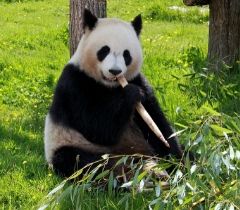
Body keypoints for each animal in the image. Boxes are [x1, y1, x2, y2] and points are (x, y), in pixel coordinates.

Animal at [44, 9, 183, 177]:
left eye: (126, 54)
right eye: (104, 50)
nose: (115, 71)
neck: (110, 86)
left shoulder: (137, 79)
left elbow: (155, 122)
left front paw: (178, 160)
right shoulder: (75, 84)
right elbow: (97, 128)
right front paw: (132, 93)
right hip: (69, 144)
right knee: (80, 162)